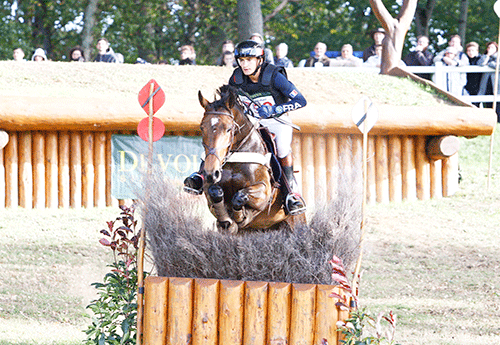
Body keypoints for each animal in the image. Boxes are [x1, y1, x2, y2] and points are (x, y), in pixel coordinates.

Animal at [197, 84, 302, 232]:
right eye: (202, 127)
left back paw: (294, 201)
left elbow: (239, 196)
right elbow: (215, 192)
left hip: (295, 222)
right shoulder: (208, 188)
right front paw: (227, 222)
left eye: (229, 129)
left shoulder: (264, 190)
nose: (211, 173)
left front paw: (240, 217)